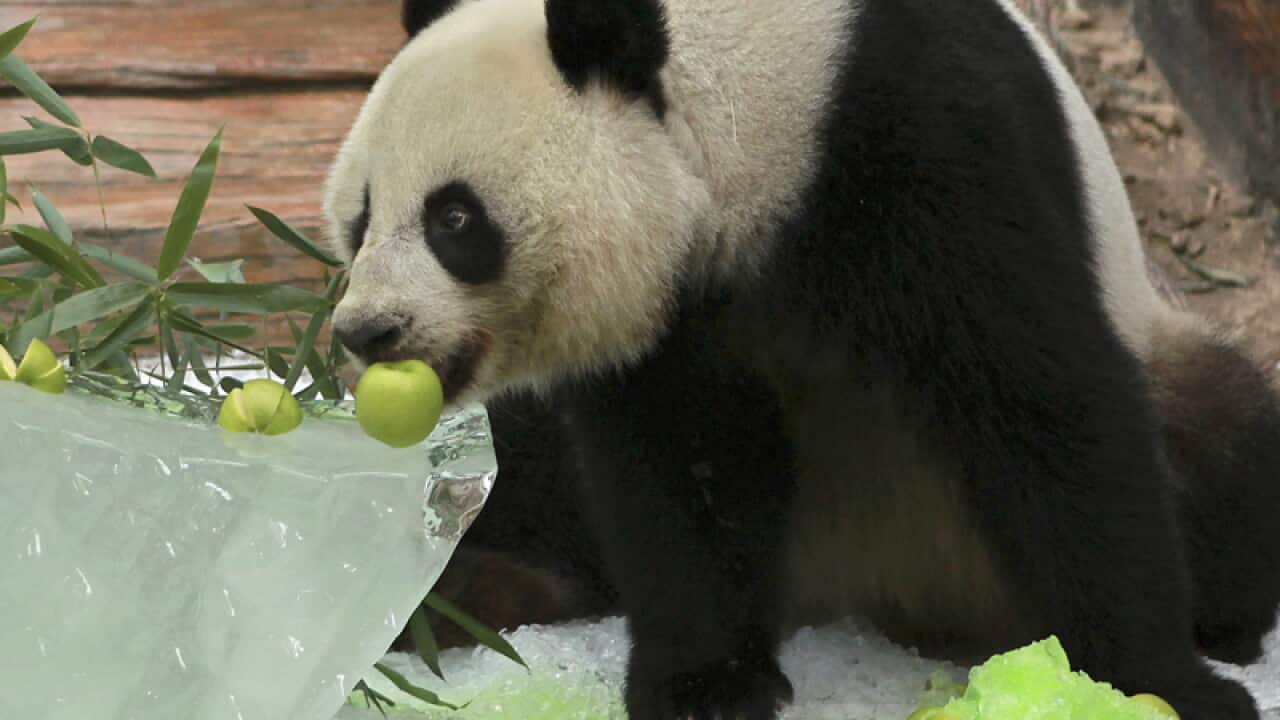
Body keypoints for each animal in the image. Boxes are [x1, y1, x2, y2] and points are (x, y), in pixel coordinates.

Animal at [325, 0, 1280, 717]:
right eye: (362, 218)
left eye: (454, 219)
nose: (366, 332)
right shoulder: (673, 310)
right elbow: (680, 470)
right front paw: (707, 685)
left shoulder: (928, 138)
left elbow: (1042, 401)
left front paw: (1157, 683)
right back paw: (477, 589)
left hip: (1165, 352)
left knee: (1226, 435)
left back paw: (1225, 619)